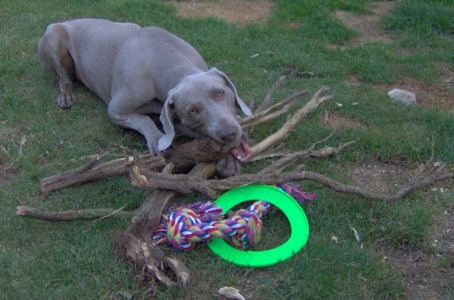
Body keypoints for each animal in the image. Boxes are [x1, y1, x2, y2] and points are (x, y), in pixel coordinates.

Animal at [37, 18, 252, 176]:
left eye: (220, 92)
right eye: (192, 111)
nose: (229, 133)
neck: (164, 57)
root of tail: (67, 20)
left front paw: (229, 160)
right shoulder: (116, 110)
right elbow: (144, 120)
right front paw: (157, 138)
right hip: (53, 37)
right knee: (64, 77)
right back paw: (66, 95)